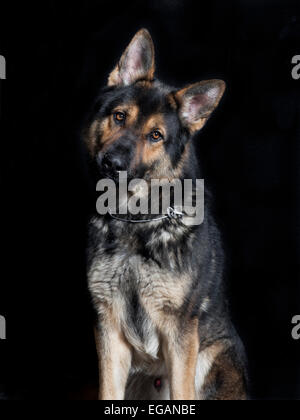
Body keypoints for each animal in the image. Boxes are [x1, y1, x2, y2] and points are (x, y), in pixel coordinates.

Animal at [84, 29, 248, 400]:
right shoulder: (108, 331)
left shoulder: (180, 334)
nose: (112, 164)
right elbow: (108, 392)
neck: (135, 221)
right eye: (119, 116)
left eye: (156, 135)